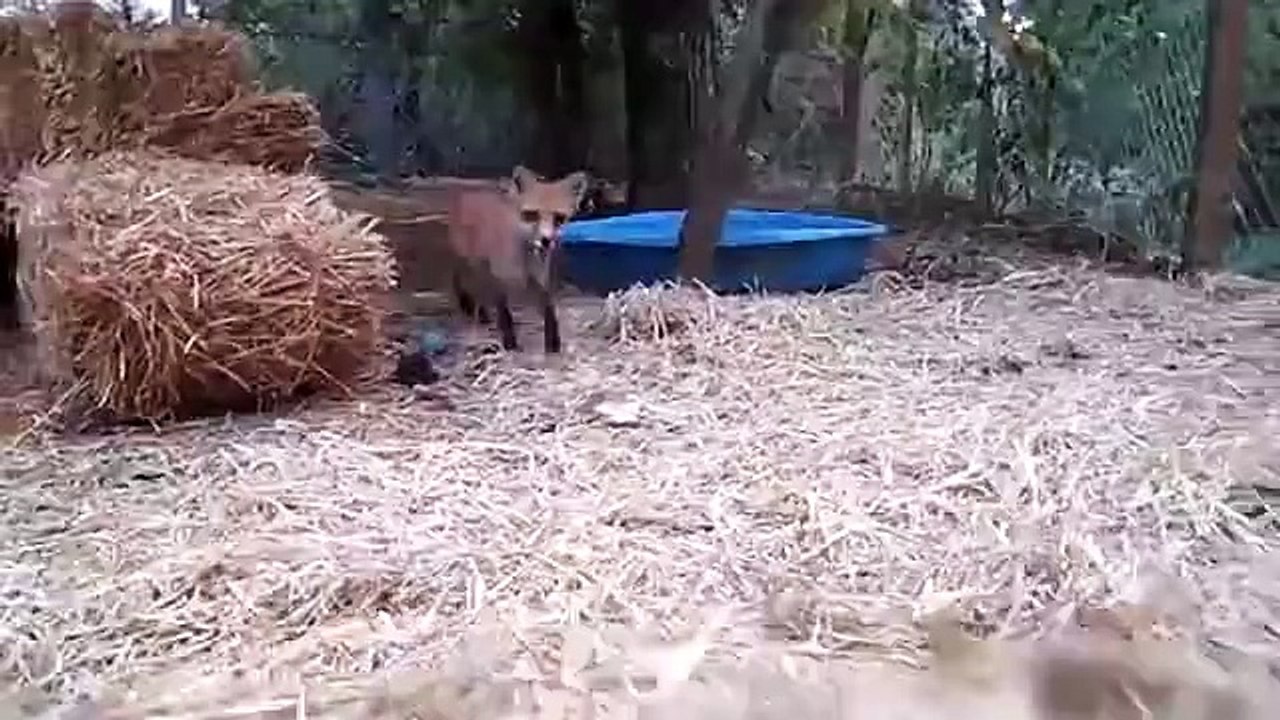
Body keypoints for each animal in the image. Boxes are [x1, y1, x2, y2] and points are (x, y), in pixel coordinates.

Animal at [445, 165, 590, 353]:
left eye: (559, 218)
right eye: (532, 215)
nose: (546, 240)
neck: (524, 259)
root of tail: (469, 192)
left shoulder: (540, 280)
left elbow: (549, 310)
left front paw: (553, 342)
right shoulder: (498, 279)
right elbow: (505, 315)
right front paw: (510, 342)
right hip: (471, 264)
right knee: (461, 281)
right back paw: (472, 308)